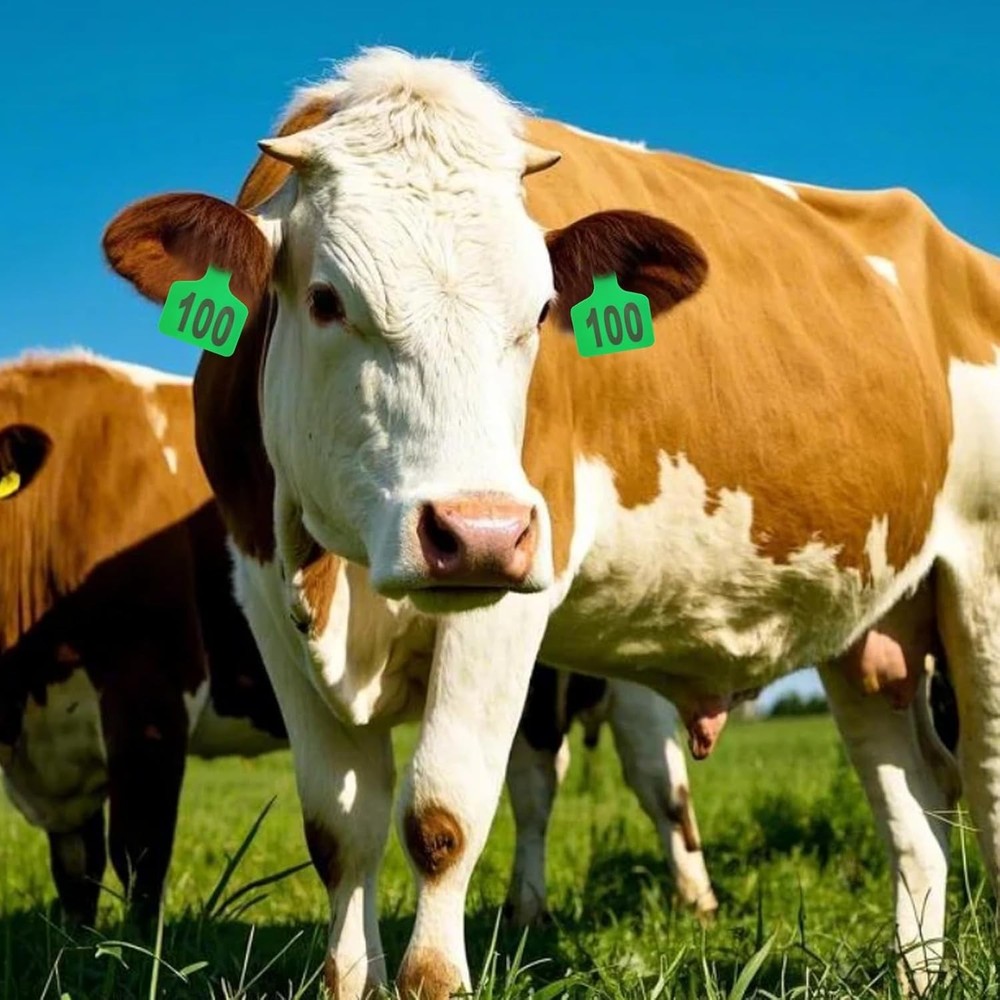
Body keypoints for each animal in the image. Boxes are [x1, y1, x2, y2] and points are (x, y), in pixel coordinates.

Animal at [101, 47, 993, 999]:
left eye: (538, 311)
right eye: (326, 299)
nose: (475, 532)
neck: (345, 578)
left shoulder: (516, 584)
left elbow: (442, 815)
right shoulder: (263, 588)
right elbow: (339, 831)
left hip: (978, 586)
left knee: (980, 776)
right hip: (874, 628)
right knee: (918, 802)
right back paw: (917, 973)